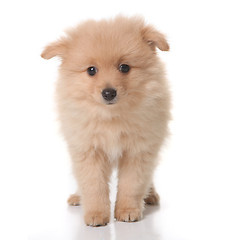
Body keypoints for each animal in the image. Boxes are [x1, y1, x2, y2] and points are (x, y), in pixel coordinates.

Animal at [40, 15, 170, 226]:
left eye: (124, 67)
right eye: (91, 70)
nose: (108, 92)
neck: (111, 117)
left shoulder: (138, 150)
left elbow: (132, 185)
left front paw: (127, 210)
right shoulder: (88, 150)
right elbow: (93, 185)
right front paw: (96, 214)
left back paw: (150, 195)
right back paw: (77, 196)